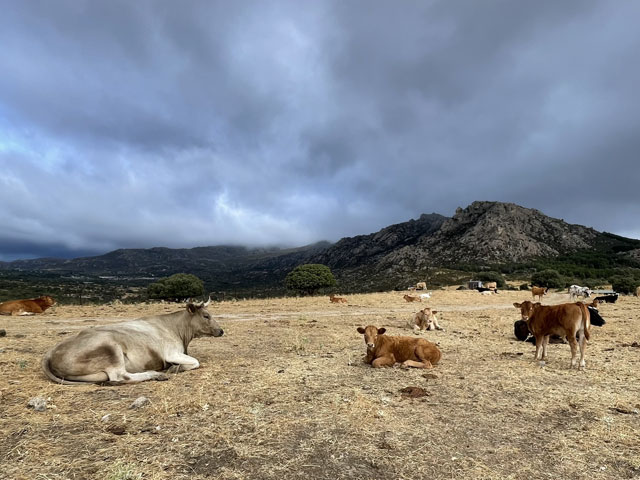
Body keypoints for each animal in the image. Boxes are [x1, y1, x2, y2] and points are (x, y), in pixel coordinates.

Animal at [41, 302, 223, 385]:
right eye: (206, 316)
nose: (221, 331)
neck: (177, 328)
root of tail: (49, 353)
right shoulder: (171, 353)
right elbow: (195, 362)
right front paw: (174, 369)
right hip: (111, 349)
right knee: (121, 376)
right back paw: (157, 374)